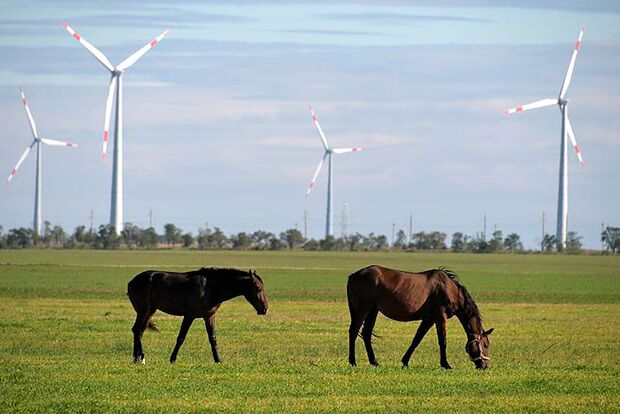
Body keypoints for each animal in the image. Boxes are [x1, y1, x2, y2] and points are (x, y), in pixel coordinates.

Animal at [127, 266, 268, 364]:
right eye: (258, 288)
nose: (265, 309)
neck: (210, 287)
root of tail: (131, 282)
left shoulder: (209, 317)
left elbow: (213, 338)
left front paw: (218, 360)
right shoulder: (189, 315)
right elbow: (181, 337)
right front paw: (172, 359)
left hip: (150, 311)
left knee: (139, 331)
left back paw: (136, 359)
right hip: (144, 310)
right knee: (137, 330)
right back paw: (142, 357)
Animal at [346, 266, 492, 370]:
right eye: (485, 344)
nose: (484, 366)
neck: (450, 289)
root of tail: (353, 276)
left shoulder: (429, 319)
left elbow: (417, 339)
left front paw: (405, 362)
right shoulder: (440, 316)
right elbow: (442, 341)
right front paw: (446, 364)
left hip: (373, 311)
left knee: (366, 333)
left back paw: (374, 362)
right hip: (362, 310)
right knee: (353, 332)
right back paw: (353, 362)